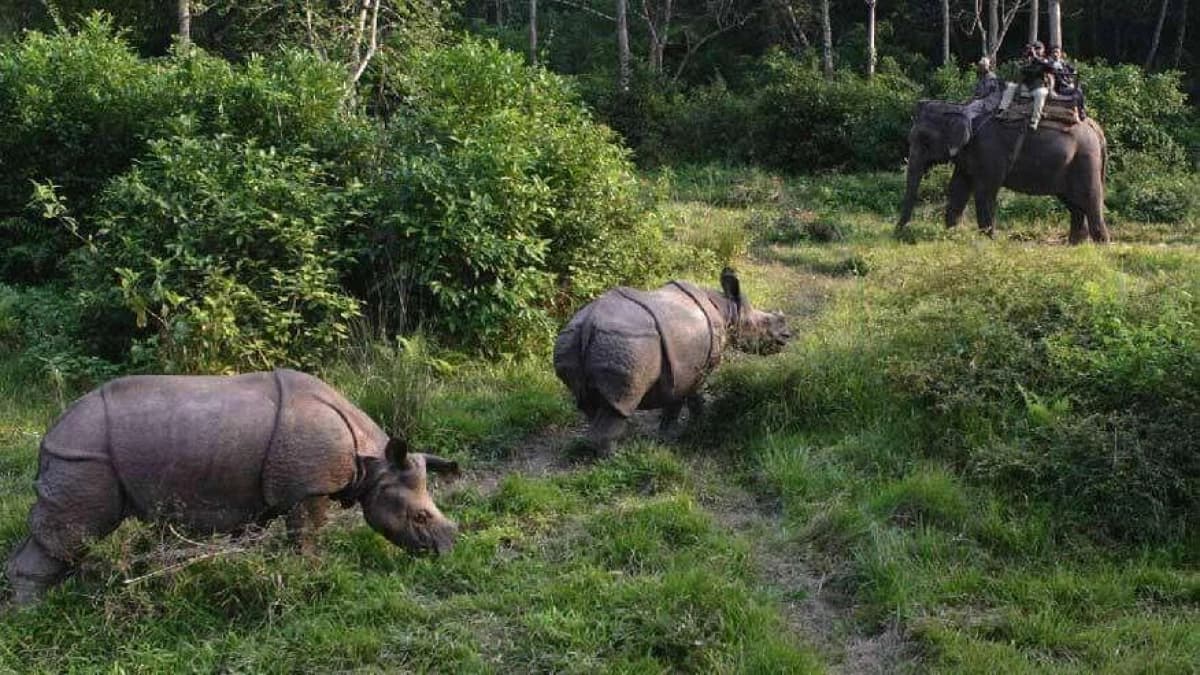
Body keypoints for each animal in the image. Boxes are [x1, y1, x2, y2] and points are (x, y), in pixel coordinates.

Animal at [895, 99, 1110, 244]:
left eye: (924, 139)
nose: (899, 232)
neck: (960, 109)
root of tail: (1097, 129)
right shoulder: (967, 156)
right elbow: (958, 188)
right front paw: (951, 235)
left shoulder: (989, 151)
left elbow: (984, 191)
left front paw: (988, 241)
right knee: (1074, 204)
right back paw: (1074, 245)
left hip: (1085, 159)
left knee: (1090, 199)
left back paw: (1101, 246)